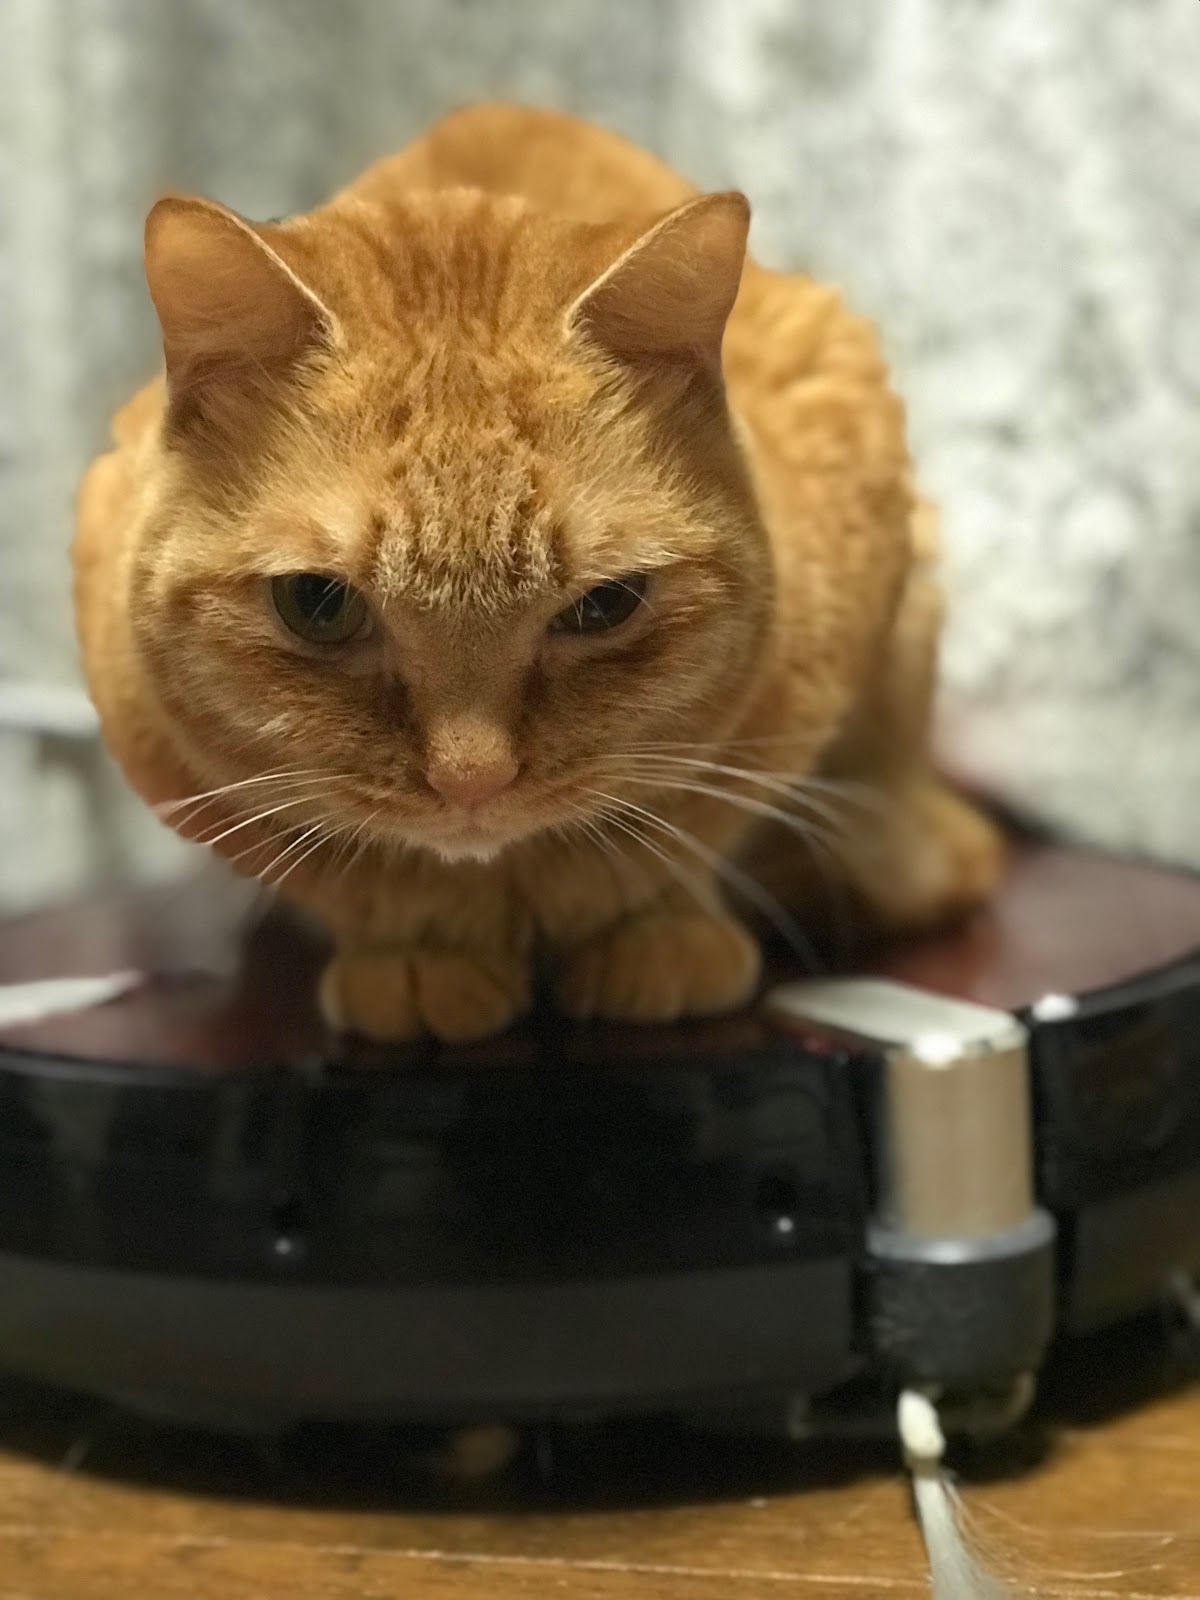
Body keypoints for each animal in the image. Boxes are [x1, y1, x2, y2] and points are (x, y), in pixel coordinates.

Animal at [73, 102, 1002, 1043]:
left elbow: (675, 842)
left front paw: (655, 932)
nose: (472, 782)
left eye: (606, 605)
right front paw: (420, 952)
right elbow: (361, 881)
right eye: (316, 604)